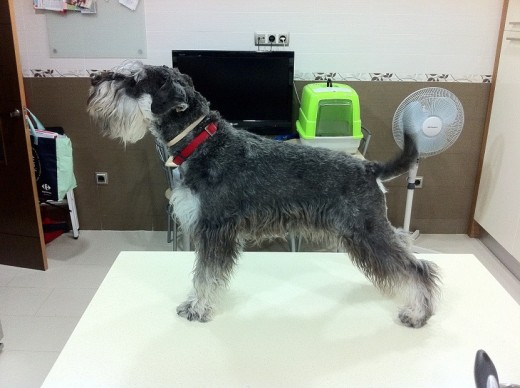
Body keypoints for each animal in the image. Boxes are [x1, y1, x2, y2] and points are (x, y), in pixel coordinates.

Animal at [88, 61, 438, 328]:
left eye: (134, 81)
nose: (94, 80)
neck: (202, 142)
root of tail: (370, 168)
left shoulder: (214, 230)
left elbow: (205, 274)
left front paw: (198, 308)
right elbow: (202, 273)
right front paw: (194, 303)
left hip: (367, 231)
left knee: (418, 268)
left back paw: (417, 312)